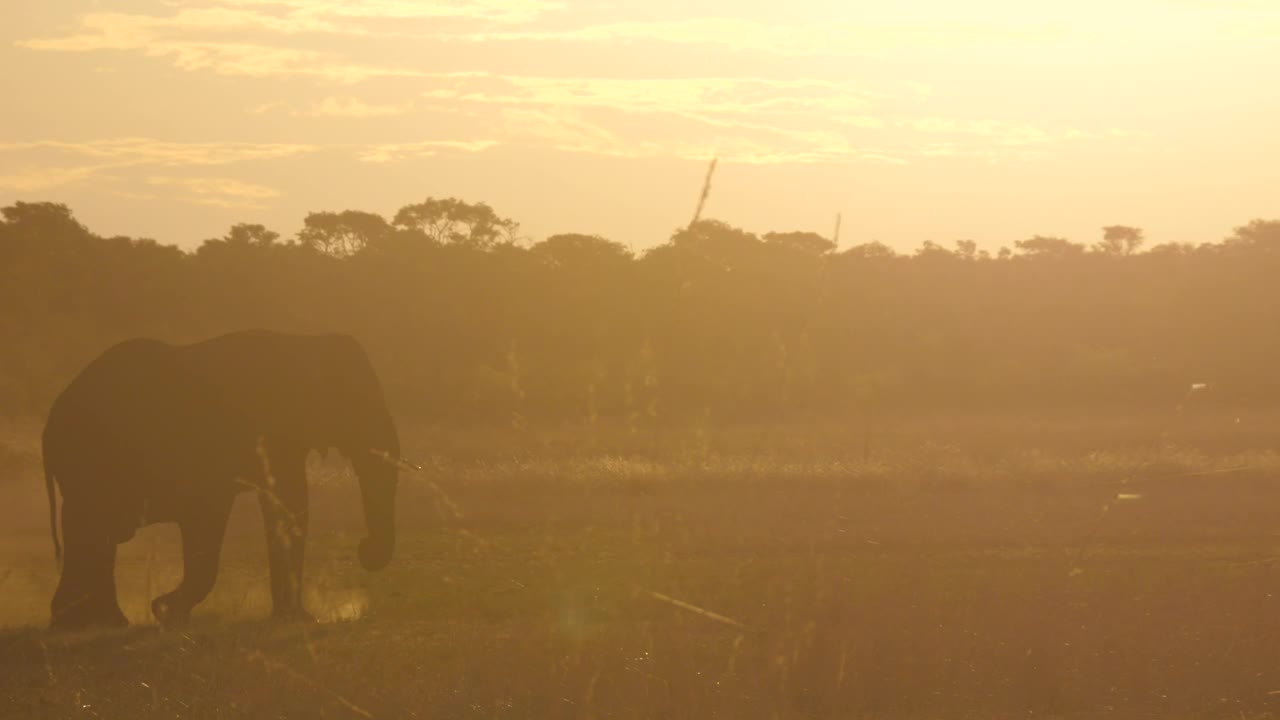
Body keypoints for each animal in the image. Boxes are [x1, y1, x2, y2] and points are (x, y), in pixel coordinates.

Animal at [41, 330, 399, 627]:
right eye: (357, 404)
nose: (365, 550)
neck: (305, 343)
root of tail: (50, 421)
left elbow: (285, 506)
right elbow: (270, 507)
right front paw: (166, 612)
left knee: (96, 533)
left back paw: (95, 622)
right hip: (91, 461)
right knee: (93, 529)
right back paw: (89, 623)